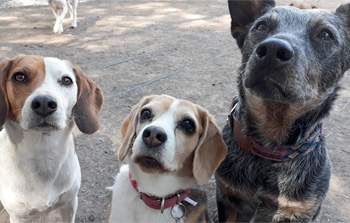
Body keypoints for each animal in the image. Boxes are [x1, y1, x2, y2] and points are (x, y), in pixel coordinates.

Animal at [0, 54, 103, 223]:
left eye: (66, 80)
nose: (44, 103)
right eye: (19, 76)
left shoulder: (70, 203)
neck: (44, 153)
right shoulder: (19, 216)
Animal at [216, 0, 350, 222]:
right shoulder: (228, 197)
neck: (269, 150)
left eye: (325, 34)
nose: (272, 49)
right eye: (261, 26)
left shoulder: (300, 211)